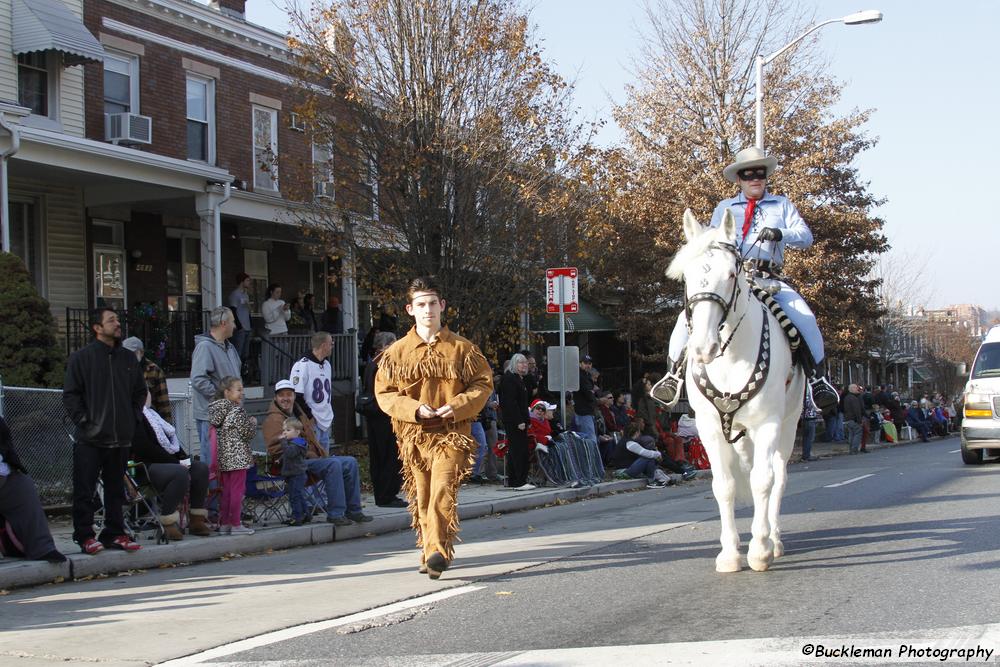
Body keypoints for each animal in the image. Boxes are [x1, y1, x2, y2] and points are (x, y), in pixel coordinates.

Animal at [668, 210, 808, 576]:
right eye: (686, 276)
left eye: (731, 274)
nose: (703, 348)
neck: (730, 358)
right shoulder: (709, 428)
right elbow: (725, 486)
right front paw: (730, 553)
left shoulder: (768, 423)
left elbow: (762, 481)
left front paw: (759, 549)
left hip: (788, 426)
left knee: (778, 477)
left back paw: (774, 540)